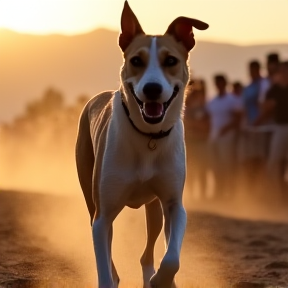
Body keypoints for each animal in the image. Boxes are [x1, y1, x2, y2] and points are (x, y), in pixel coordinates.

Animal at [75, 1, 208, 286]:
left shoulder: (174, 204)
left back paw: (153, 277)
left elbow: (171, 258)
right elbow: (104, 265)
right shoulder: (102, 215)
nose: (152, 89)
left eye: (171, 60)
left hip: (154, 207)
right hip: (90, 194)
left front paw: (161, 280)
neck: (149, 136)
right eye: (136, 60)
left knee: (148, 252)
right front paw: (113, 277)